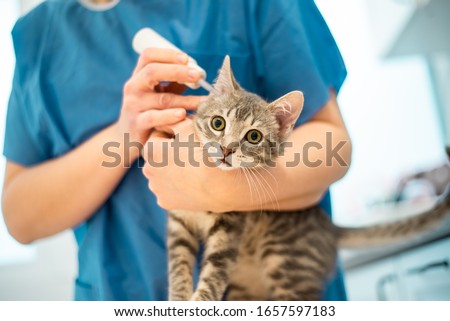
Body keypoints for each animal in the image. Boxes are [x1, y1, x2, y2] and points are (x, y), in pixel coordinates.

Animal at [166, 55, 450, 300]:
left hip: (286, 263)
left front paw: (197, 302)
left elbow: (214, 273)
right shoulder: (178, 223)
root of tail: (330, 228)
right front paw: (178, 299)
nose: (226, 149)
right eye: (218, 123)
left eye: (253, 136)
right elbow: (177, 268)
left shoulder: (231, 226)